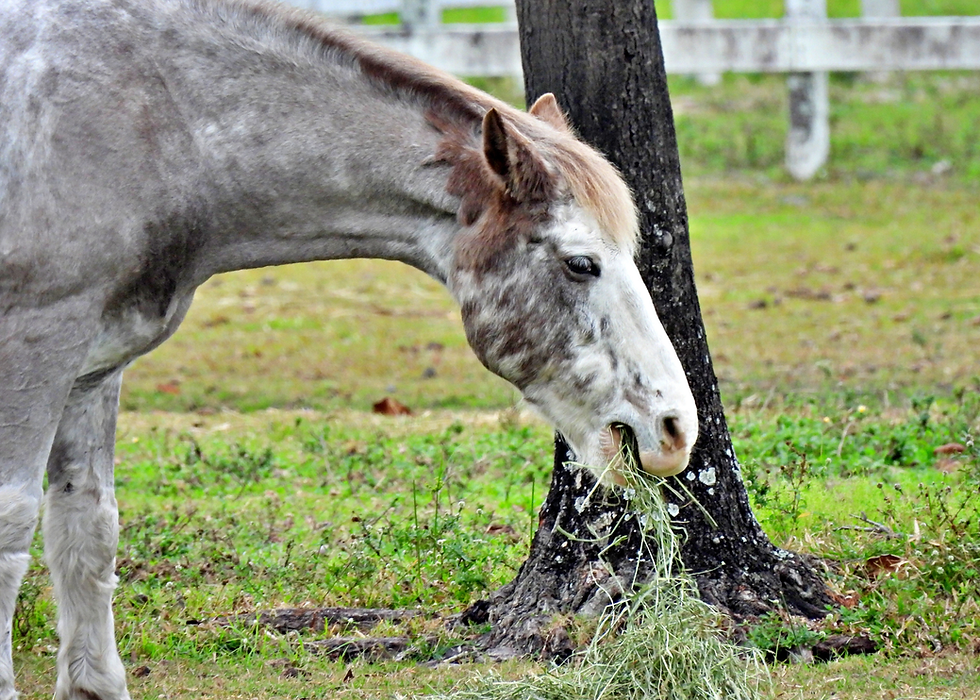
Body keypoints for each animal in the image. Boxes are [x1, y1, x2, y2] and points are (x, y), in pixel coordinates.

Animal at [0, 0, 698, 696]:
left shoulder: (94, 370)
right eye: (581, 263)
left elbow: (87, 527)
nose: (676, 428)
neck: (156, 124)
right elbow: (13, 525)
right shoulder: (39, 345)